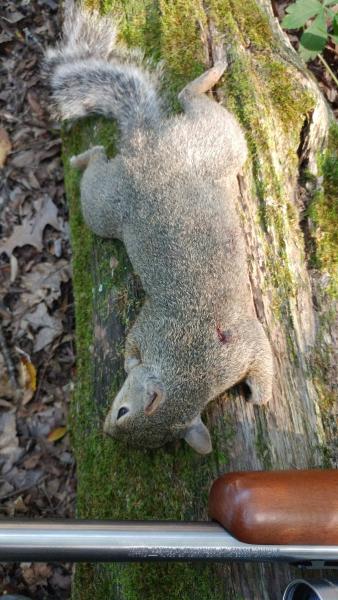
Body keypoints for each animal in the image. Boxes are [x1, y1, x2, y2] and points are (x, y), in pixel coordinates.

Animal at [45, 4, 274, 454]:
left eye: (123, 414)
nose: (107, 431)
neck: (192, 364)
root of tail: (146, 141)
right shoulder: (168, 332)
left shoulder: (231, 345)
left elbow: (262, 359)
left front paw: (260, 396)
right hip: (121, 196)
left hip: (200, 153)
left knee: (177, 108)